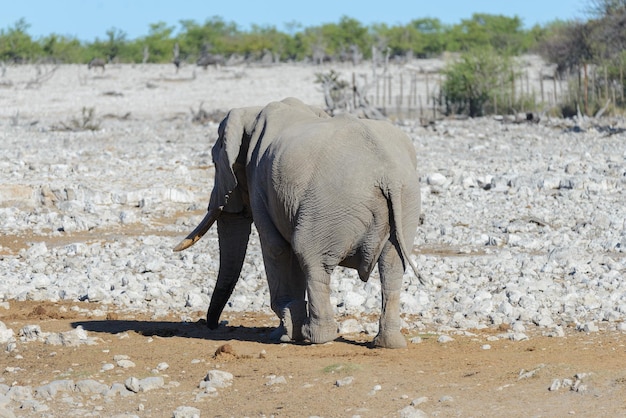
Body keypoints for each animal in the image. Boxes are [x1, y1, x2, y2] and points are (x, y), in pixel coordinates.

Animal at [173, 96, 424, 348]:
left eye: (214, 163)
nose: (213, 325)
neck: (251, 114)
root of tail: (388, 174)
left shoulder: (259, 184)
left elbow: (275, 248)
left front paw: (282, 336)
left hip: (328, 205)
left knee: (311, 257)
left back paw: (317, 337)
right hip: (407, 202)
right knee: (392, 267)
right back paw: (388, 343)